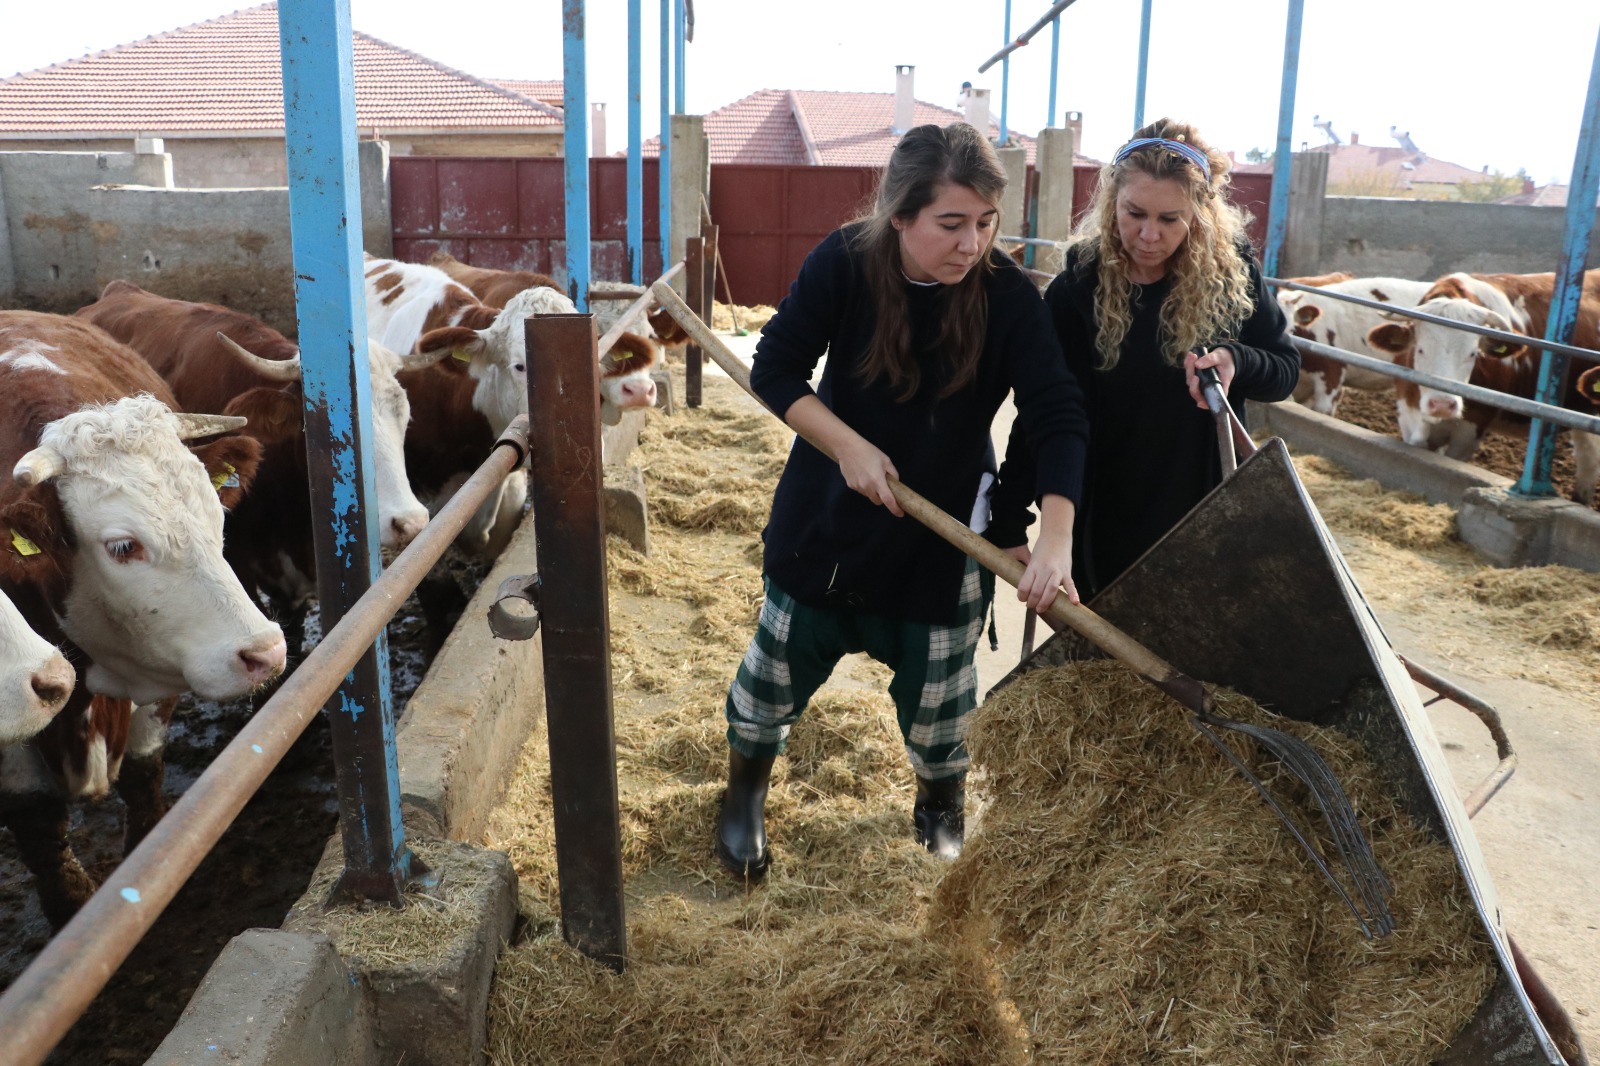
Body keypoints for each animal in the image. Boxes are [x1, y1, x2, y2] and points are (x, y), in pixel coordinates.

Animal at [1, 308, 288, 921]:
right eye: (122, 546)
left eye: (216, 514)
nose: (266, 651)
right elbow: (36, 823)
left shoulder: (159, 670)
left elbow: (144, 772)